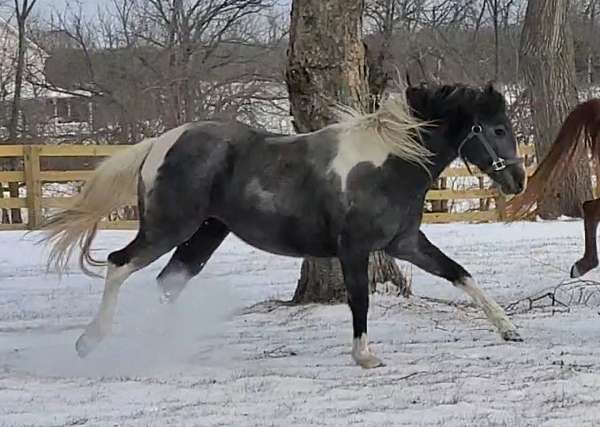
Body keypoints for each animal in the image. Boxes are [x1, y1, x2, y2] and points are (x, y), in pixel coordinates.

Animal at [39, 82, 524, 370]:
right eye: (497, 129)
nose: (517, 181)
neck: (389, 162)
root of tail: (160, 142)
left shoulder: (405, 242)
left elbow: (460, 274)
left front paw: (509, 330)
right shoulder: (354, 249)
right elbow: (360, 300)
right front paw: (365, 356)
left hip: (206, 232)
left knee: (169, 281)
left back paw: (166, 346)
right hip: (168, 227)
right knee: (119, 264)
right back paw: (91, 341)